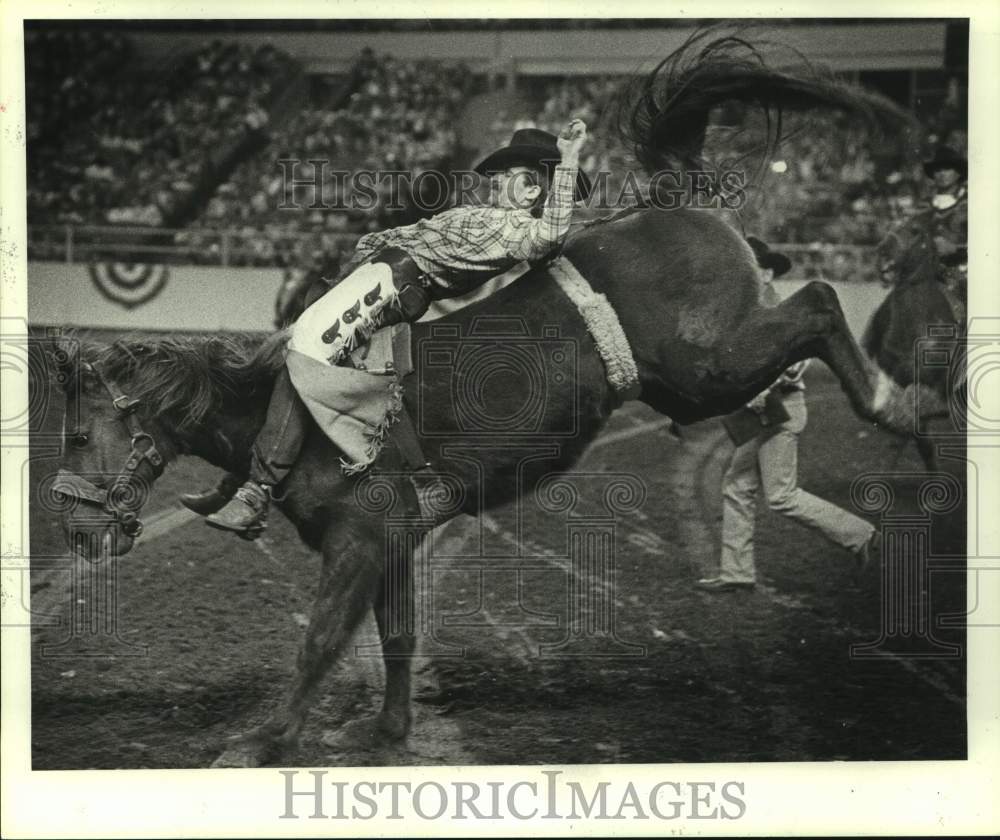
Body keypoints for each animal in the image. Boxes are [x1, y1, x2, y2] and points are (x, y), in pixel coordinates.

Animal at [47, 34, 920, 768]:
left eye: (80, 436)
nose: (77, 532)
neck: (285, 418)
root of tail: (670, 194)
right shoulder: (396, 542)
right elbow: (396, 639)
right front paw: (390, 730)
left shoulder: (358, 540)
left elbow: (320, 640)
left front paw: (266, 741)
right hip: (697, 379)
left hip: (712, 364)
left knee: (818, 299)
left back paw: (896, 406)